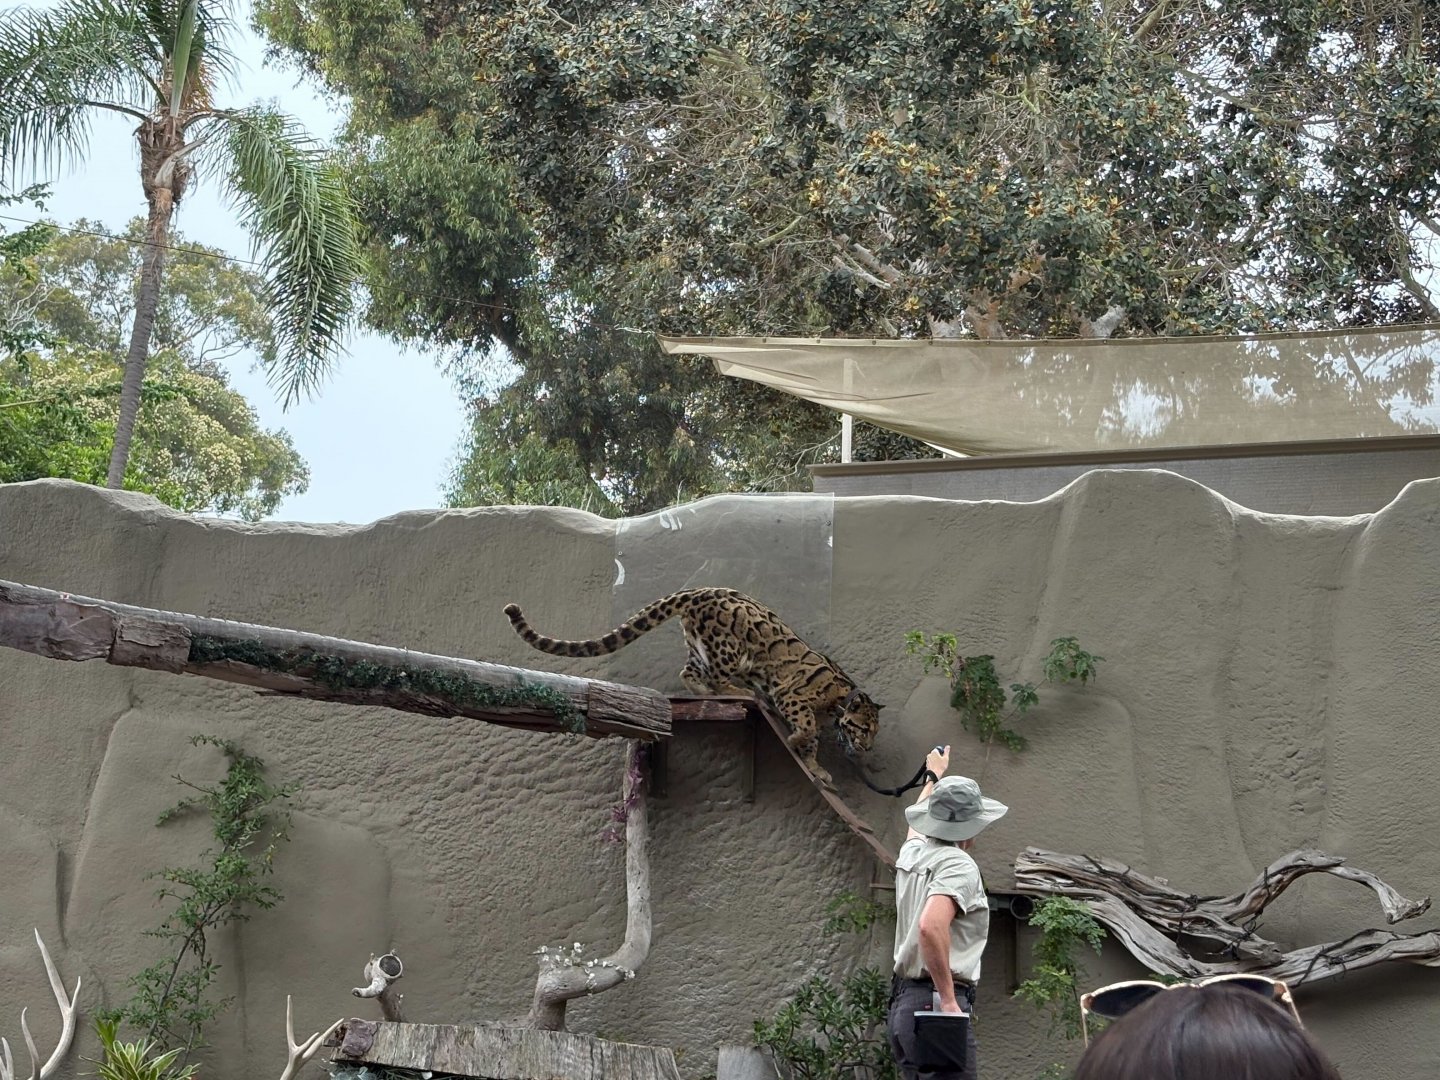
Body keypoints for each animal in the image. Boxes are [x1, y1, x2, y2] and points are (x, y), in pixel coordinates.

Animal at [504, 587, 882, 783]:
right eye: (864, 729)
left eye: (873, 733)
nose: (866, 748)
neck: (839, 698)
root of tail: (700, 591)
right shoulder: (793, 696)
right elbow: (808, 731)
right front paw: (801, 746)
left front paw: (815, 766)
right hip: (729, 647)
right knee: (715, 678)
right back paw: (740, 692)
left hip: (704, 647)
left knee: (689, 673)